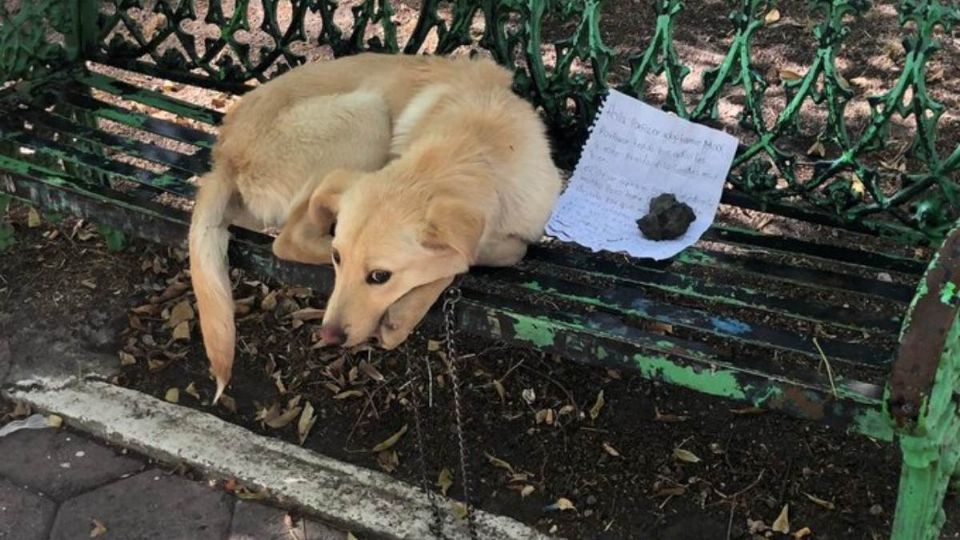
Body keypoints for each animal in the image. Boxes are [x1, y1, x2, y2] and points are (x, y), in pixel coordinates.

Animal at [188, 53, 564, 400]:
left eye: (380, 276)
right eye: (338, 259)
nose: (328, 336)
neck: (475, 146)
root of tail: (224, 154)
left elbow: (496, 251)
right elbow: (474, 257)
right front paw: (407, 309)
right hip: (367, 115)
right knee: (288, 239)